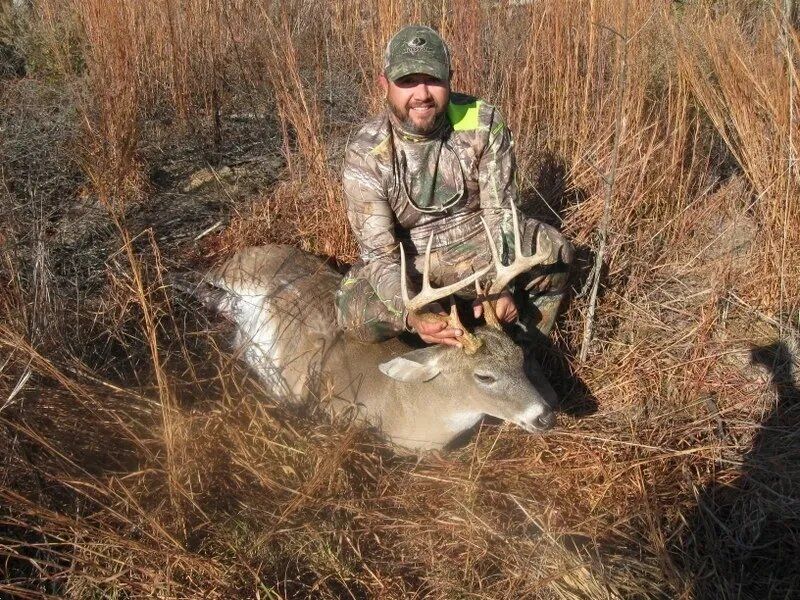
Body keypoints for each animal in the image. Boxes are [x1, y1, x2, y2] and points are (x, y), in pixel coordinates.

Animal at [186, 202, 559, 452]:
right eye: (484, 376)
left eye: (520, 359)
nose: (545, 416)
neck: (401, 402)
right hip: (234, 270)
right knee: (201, 280)